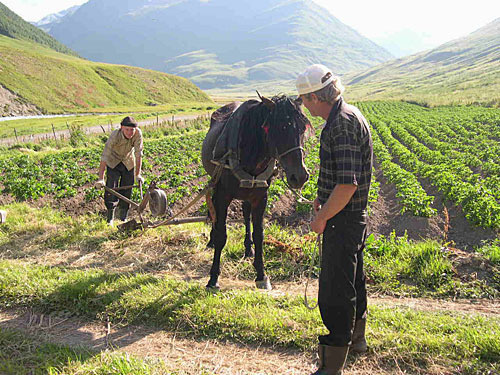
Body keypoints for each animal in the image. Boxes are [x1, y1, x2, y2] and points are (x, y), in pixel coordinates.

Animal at [201, 94, 310, 290]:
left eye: (303, 127)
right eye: (280, 128)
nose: (300, 176)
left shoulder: (260, 197)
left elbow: (259, 234)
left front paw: (261, 274)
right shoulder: (223, 196)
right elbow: (222, 235)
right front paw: (213, 278)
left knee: (245, 214)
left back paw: (248, 248)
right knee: (213, 209)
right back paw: (211, 240)